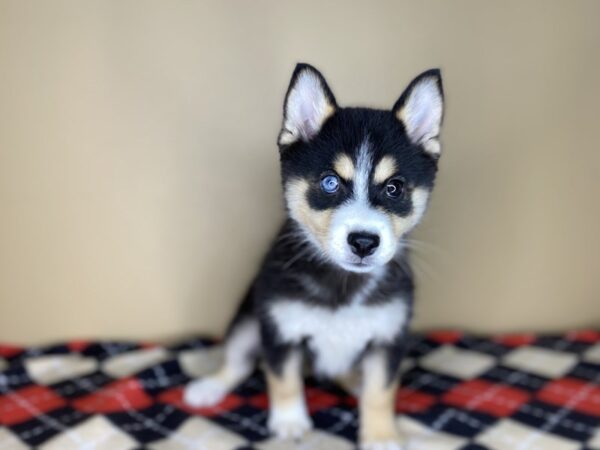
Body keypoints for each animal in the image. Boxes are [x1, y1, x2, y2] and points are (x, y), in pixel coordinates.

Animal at [185, 63, 442, 450]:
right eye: (330, 182)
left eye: (394, 188)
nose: (363, 241)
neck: (343, 281)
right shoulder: (280, 329)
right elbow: (283, 379)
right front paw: (290, 422)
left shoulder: (388, 338)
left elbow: (381, 391)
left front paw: (381, 435)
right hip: (248, 320)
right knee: (240, 361)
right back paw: (210, 386)